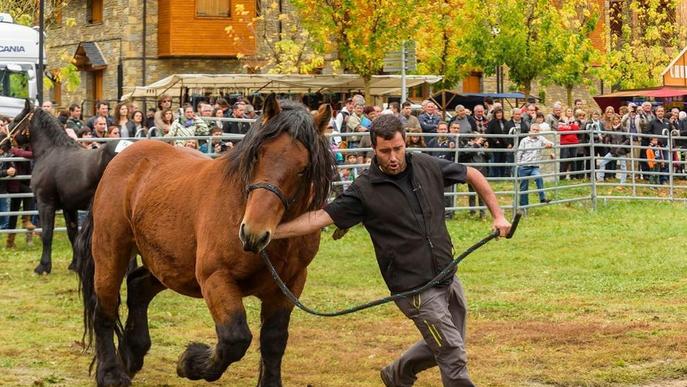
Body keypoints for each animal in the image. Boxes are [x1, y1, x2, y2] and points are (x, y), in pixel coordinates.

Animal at [10, 101, 120, 276]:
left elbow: (47, 233)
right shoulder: (69, 207)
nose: (3, 141)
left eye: (16, 119)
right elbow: (72, 233)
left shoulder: (45, 203)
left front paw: (43, 266)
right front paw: (75, 265)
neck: (50, 151)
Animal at [75, 94, 334, 387]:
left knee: (138, 286)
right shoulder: (215, 278)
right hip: (111, 251)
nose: (252, 232)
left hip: (172, 265)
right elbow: (235, 339)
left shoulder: (289, 285)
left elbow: (273, 341)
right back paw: (110, 373)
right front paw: (190, 362)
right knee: (104, 310)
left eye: (303, 168)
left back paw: (132, 353)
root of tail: (120, 159)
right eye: (258, 154)